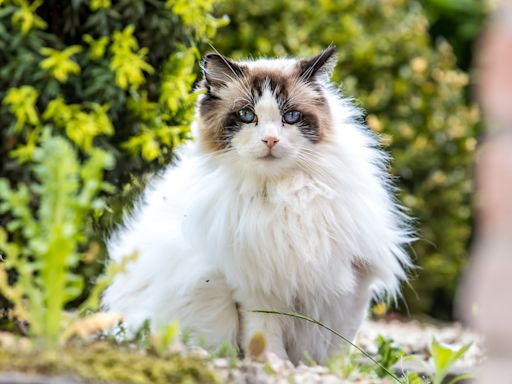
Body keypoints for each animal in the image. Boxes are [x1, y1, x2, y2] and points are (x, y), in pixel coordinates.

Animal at [103, 47, 412, 364]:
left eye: (291, 116)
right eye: (246, 115)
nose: (270, 140)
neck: (284, 194)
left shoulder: (349, 283)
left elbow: (338, 345)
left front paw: (328, 370)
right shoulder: (255, 283)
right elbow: (264, 335)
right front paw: (276, 365)